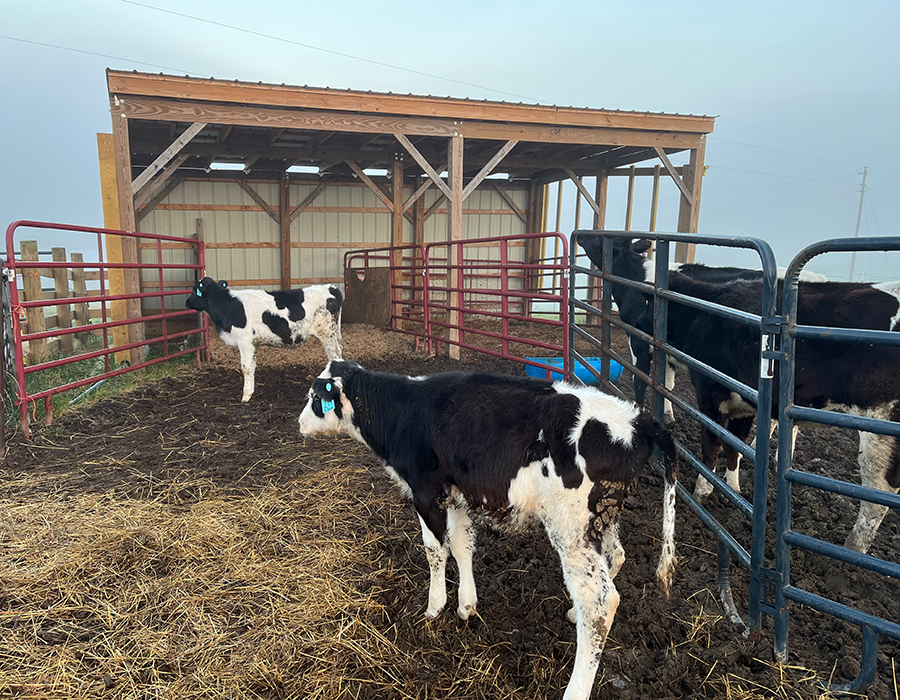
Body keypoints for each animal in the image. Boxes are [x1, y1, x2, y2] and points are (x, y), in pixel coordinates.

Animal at [185, 277, 343, 402]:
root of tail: (331, 287)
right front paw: (251, 391)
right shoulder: (252, 344)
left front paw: (245, 396)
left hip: (327, 333)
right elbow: (252, 366)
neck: (228, 306)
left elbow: (245, 367)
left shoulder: (245, 342)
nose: (186, 303)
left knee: (335, 356)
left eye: (194, 290)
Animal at [298, 361, 677, 700]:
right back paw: (574, 613)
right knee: (616, 558)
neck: (405, 411)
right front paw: (466, 604)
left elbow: (435, 550)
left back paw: (576, 688)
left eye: (314, 397)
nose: (299, 423)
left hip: (571, 531)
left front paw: (435, 607)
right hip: (600, 520)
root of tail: (638, 420)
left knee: (600, 604)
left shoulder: (425, 492)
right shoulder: (458, 493)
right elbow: (461, 545)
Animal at [581, 236, 900, 554]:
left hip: (881, 428)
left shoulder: (698, 384)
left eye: (610, 244)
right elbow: (729, 443)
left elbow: (704, 436)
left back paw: (852, 547)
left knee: (878, 495)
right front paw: (730, 487)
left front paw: (702, 487)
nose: (584, 235)